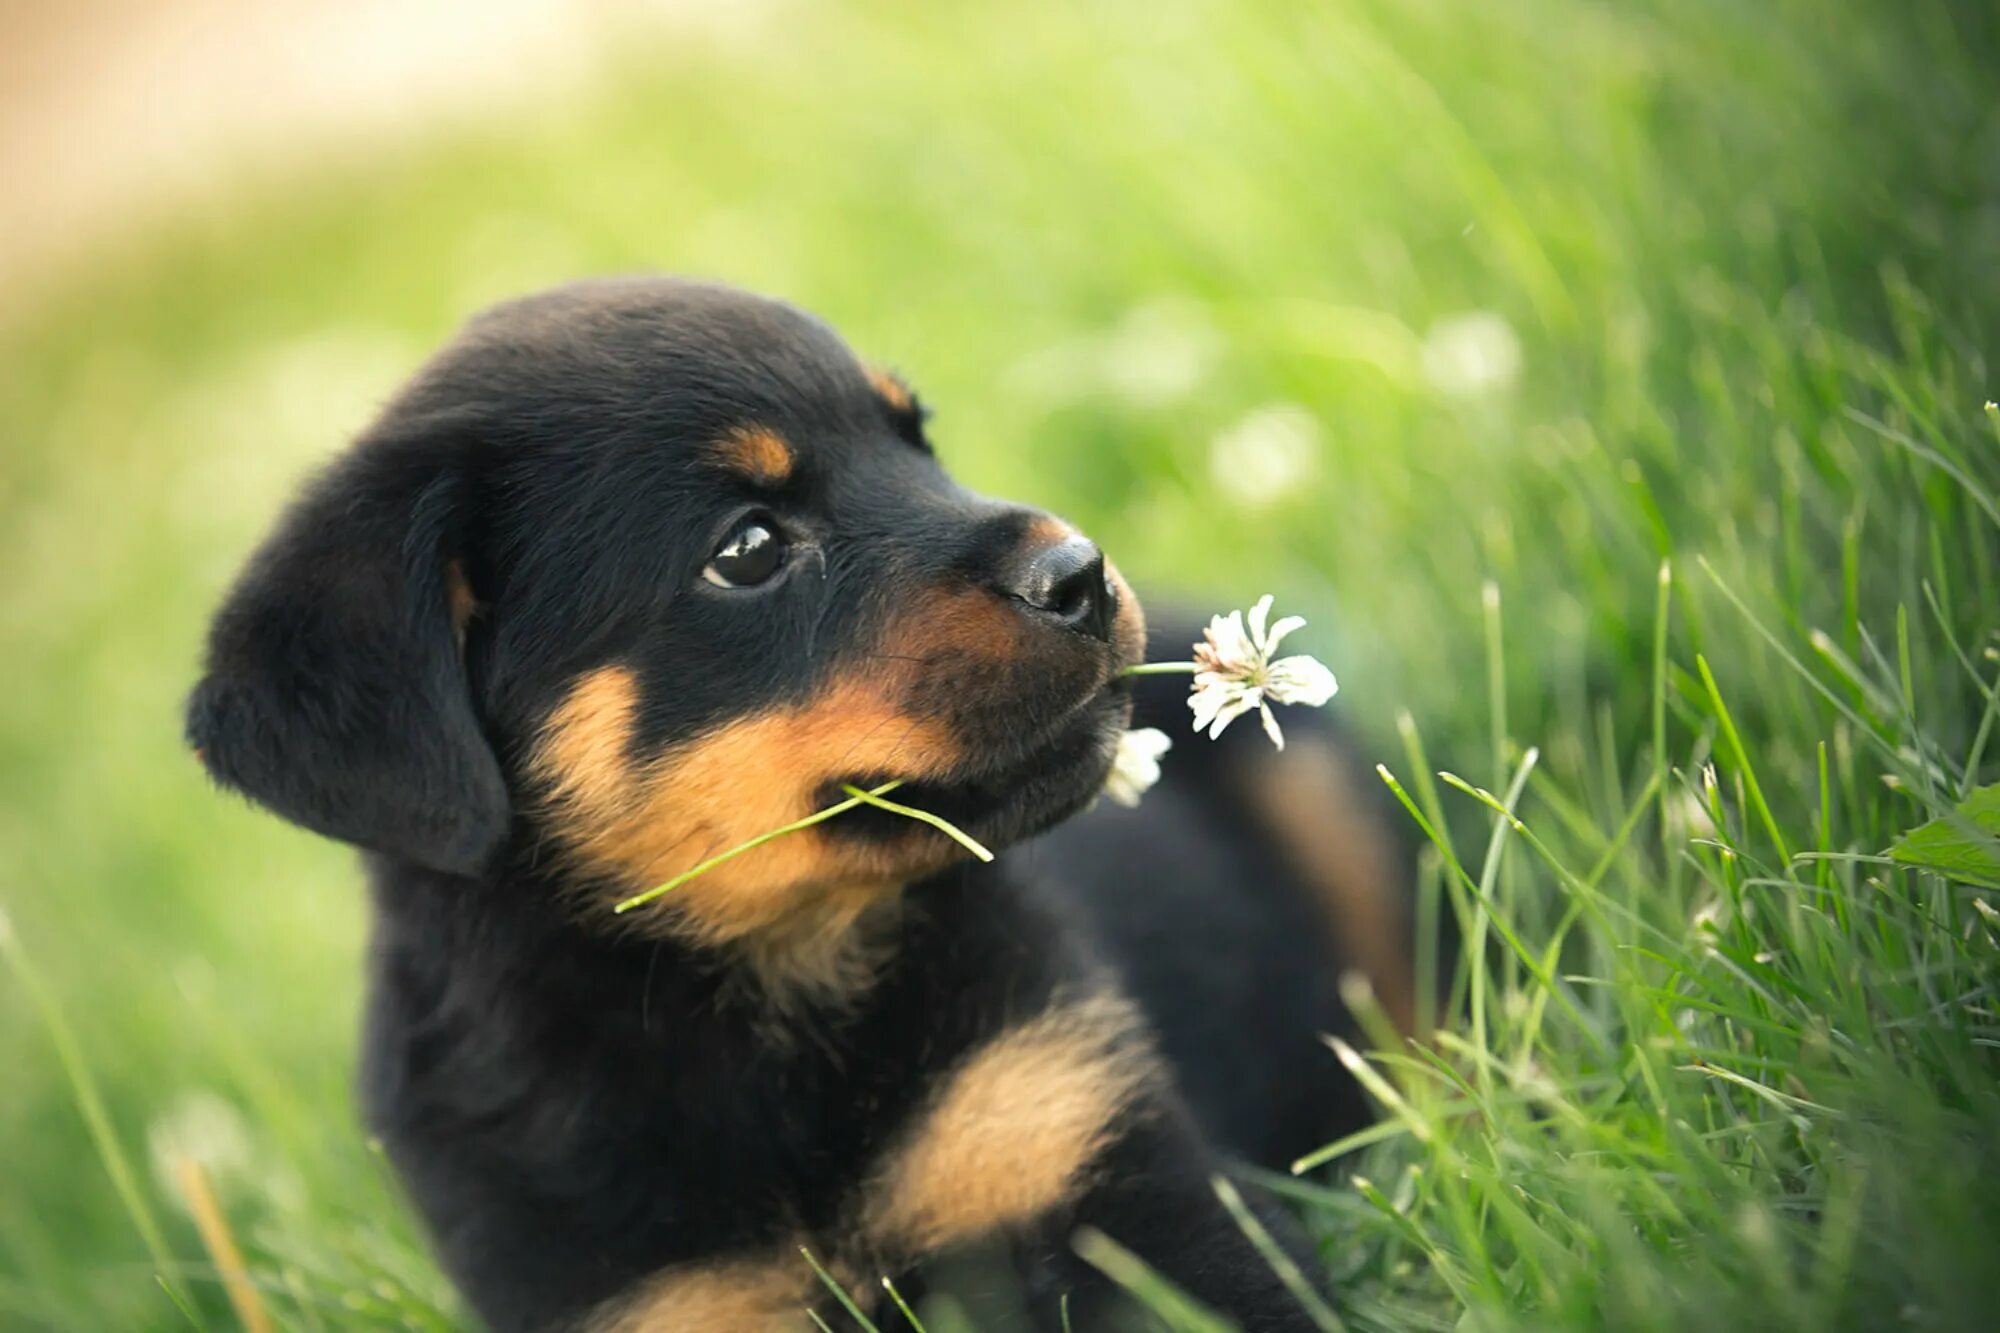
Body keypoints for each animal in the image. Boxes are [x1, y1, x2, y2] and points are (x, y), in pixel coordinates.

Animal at [184, 274, 1408, 1320]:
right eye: (749, 548)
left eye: (918, 440)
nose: (1082, 572)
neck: (763, 994)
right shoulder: (654, 1300)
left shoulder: (1095, 1153)